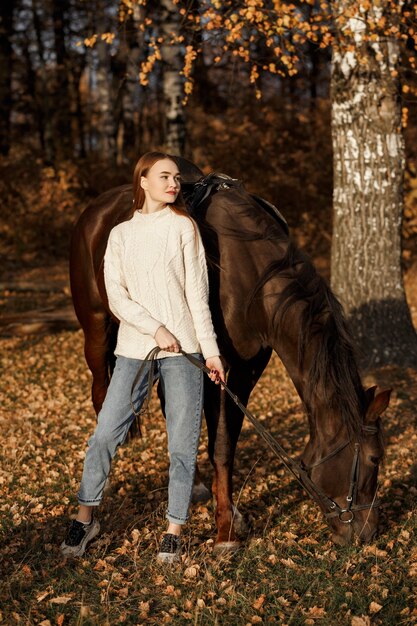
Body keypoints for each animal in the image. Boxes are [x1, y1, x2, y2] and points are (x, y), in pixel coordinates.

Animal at [69, 156, 390, 544]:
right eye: (375, 459)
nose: (368, 531)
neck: (251, 274)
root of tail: (92, 212)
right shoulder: (219, 366)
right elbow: (220, 445)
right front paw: (225, 531)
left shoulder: (246, 370)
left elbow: (226, 439)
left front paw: (229, 513)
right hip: (96, 331)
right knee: (101, 396)